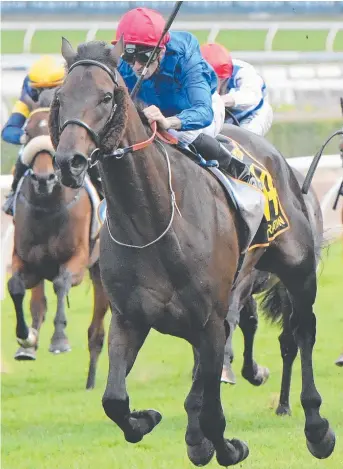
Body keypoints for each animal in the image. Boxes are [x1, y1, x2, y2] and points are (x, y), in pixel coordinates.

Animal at [7, 89, 109, 390]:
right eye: (27, 132)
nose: (44, 178)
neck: (48, 207)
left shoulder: (78, 260)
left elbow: (62, 282)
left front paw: (59, 340)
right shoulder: (27, 262)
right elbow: (15, 286)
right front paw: (25, 337)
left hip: (102, 273)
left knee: (97, 331)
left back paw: (91, 382)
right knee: (38, 304)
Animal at [51, 38, 336, 466]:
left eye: (106, 96)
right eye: (60, 97)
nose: (70, 162)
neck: (151, 222)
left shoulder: (211, 320)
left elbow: (215, 412)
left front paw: (228, 447)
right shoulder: (130, 318)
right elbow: (114, 400)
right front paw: (148, 419)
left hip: (298, 271)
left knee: (302, 333)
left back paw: (315, 426)